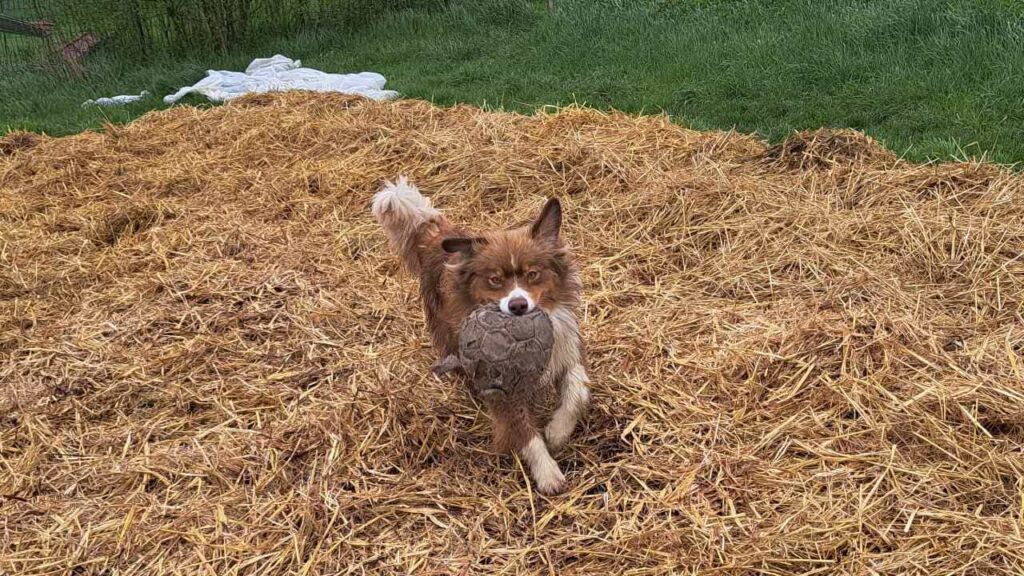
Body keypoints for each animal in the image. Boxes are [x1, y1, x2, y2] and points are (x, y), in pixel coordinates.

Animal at [372, 177, 589, 491]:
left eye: (533, 274)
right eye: (494, 279)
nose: (518, 305)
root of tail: (440, 235)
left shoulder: (567, 349)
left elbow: (578, 392)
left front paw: (558, 431)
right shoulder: (500, 387)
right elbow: (524, 431)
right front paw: (548, 473)